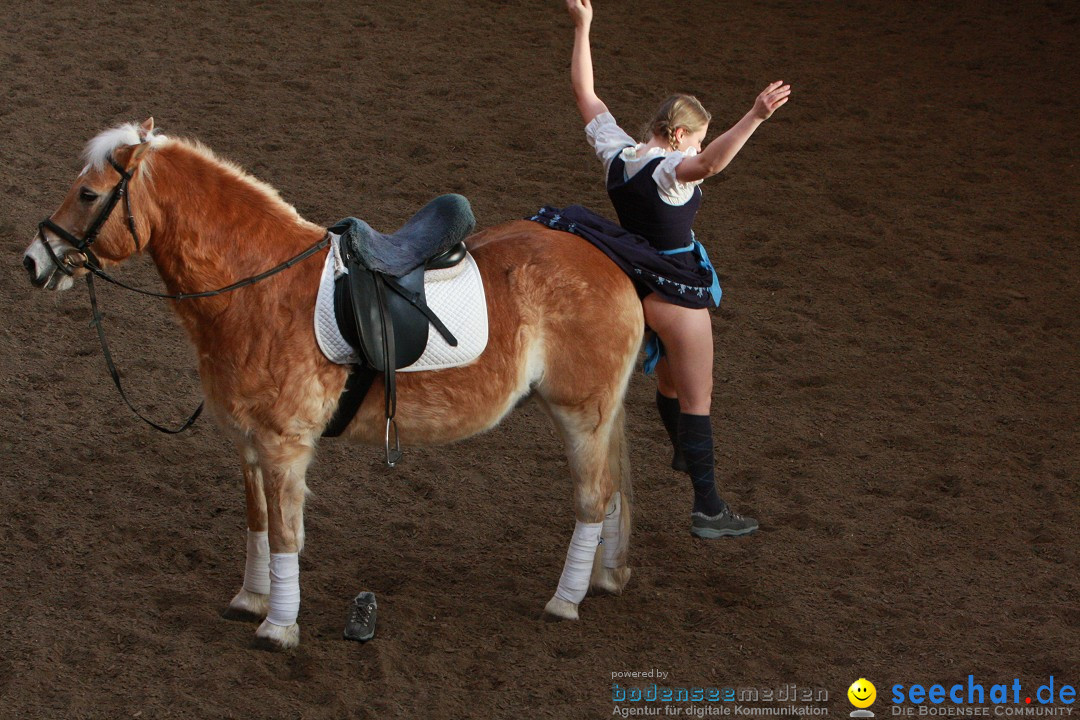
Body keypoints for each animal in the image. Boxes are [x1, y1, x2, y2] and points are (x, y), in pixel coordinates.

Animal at [21, 117, 639, 647]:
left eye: (87, 194)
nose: (33, 261)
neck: (256, 288)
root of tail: (612, 264)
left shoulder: (284, 446)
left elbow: (286, 535)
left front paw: (277, 626)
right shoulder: (248, 444)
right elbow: (259, 523)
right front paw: (251, 599)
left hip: (581, 414)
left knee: (592, 498)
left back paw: (565, 600)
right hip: (596, 416)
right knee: (611, 493)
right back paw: (604, 579)